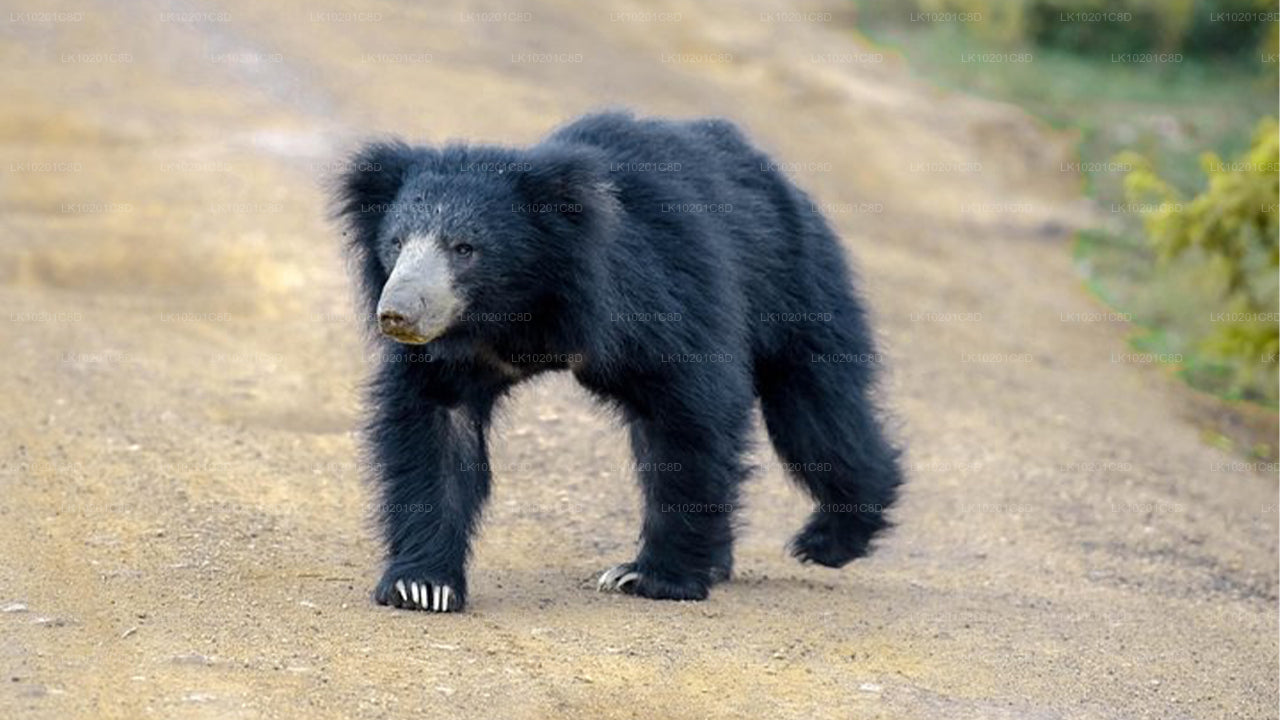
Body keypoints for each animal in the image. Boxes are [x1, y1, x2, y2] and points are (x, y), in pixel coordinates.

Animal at [335, 110, 906, 609]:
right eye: (396, 243)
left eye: (465, 248)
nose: (397, 314)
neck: (521, 309)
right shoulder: (456, 353)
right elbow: (436, 429)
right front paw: (421, 586)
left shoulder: (654, 296)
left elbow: (690, 414)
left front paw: (652, 577)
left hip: (794, 283)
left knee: (816, 412)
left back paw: (831, 538)